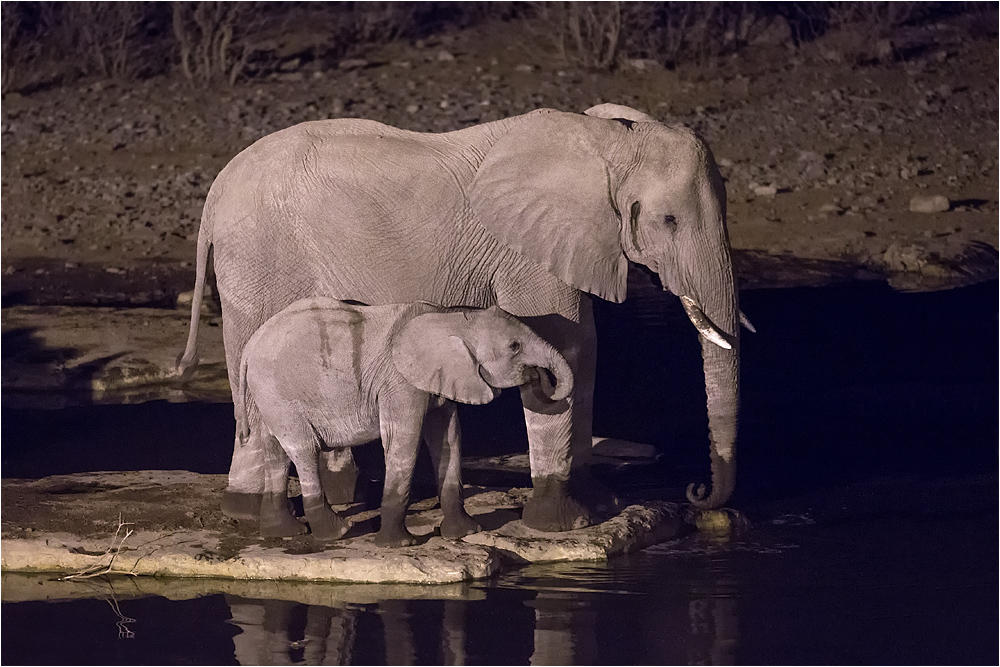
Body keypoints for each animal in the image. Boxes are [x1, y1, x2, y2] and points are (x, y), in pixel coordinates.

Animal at [237, 298, 576, 548]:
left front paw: (466, 532)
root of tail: (249, 347)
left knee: (275, 450)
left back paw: (283, 532)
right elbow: (405, 439)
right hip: (278, 392)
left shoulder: (440, 379)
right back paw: (337, 533)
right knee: (303, 449)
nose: (539, 376)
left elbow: (449, 437)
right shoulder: (400, 382)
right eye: (514, 347)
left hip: (269, 395)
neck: (452, 319)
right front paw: (398, 545)